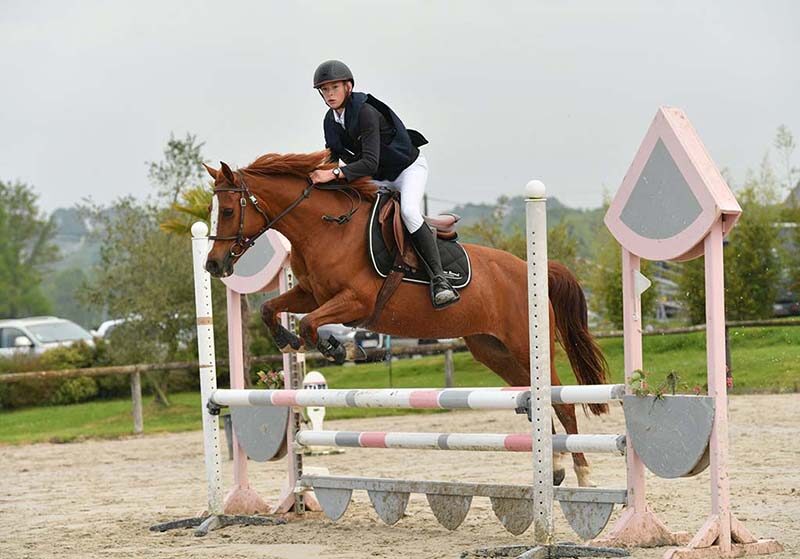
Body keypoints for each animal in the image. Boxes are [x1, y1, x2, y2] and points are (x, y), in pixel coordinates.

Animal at [203, 150, 608, 486]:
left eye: (228, 211)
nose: (213, 265)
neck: (326, 226)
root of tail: (532, 268)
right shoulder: (311, 294)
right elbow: (272, 309)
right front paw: (289, 341)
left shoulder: (356, 300)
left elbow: (309, 323)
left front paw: (337, 348)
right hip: (495, 352)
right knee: (539, 403)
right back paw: (554, 469)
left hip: (527, 344)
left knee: (562, 401)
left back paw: (583, 475)